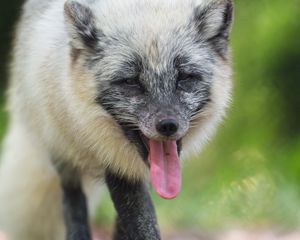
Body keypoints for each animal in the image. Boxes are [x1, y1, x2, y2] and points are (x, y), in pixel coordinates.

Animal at [0, 0, 233, 239]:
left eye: (185, 78)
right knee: (71, 201)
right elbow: (141, 223)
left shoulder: (140, 173)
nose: (168, 126)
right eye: (131, 82)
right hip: (60, 150)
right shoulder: (114, 162)